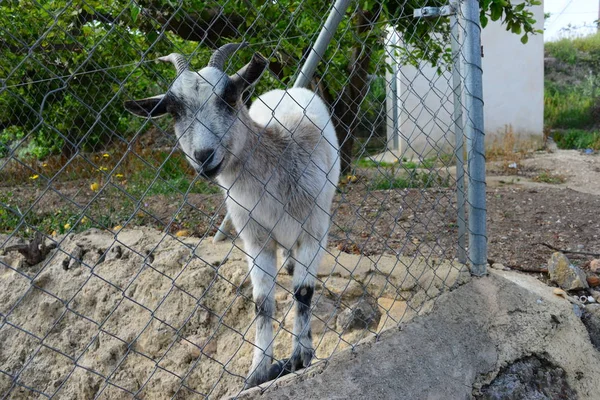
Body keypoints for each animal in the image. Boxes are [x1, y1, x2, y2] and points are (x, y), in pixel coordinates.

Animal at [124, 43, 340, 388]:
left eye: (229, 95)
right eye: (173, 110)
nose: (204, 157)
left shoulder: (315, 228)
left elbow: (303, 292)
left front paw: (300, 357)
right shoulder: (255, 237)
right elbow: (261, 303)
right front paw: (258, 371)